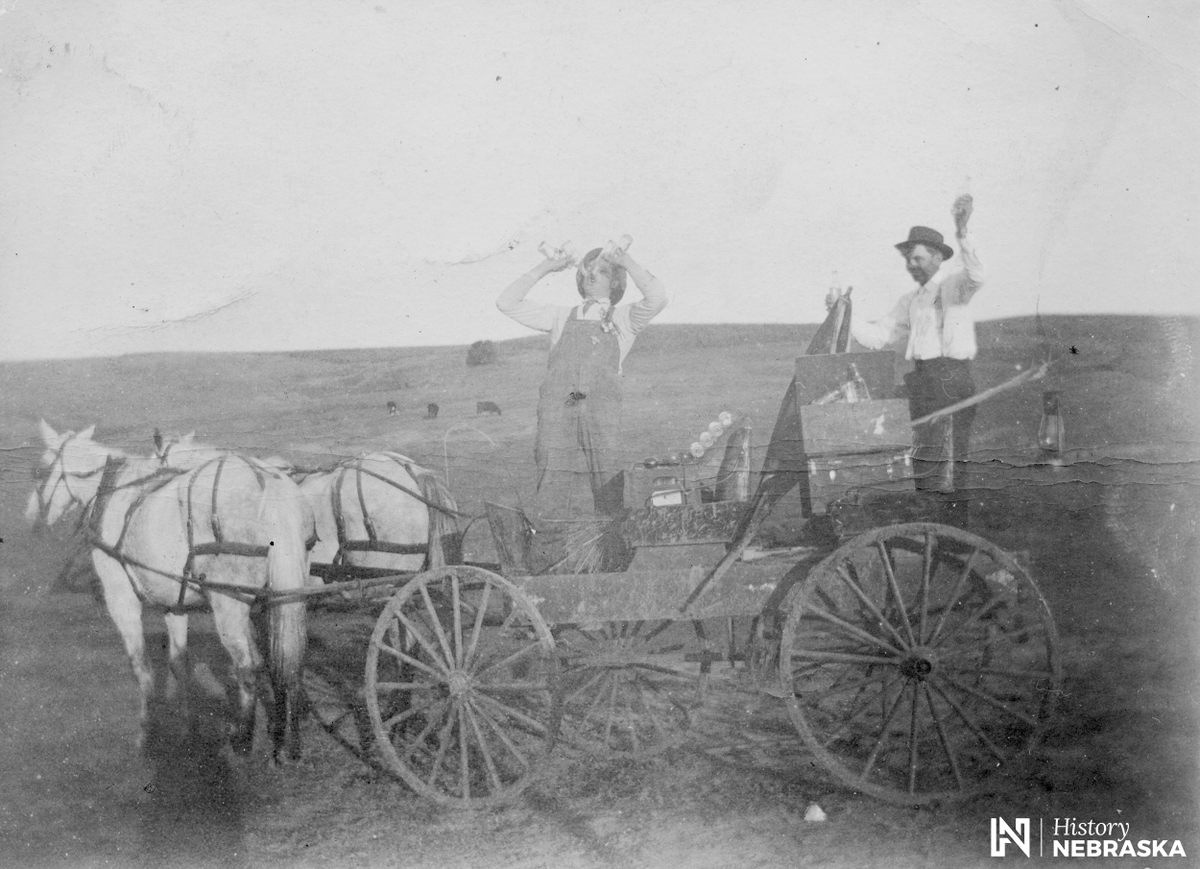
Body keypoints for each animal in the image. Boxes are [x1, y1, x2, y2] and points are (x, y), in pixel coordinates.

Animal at [30, 420, 316, 758]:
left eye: (40, 469)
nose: (34, 519)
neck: (115, 493)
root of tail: (268, 484)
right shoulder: (174, 605)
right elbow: (179, 664)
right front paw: (187, 725)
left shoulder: (121, 600)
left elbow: (141, 666)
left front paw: (148, 728)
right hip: (282, 595)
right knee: (287, 662)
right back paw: (288, 738)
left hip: (228, 604)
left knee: (247, 666)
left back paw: (243, 740)